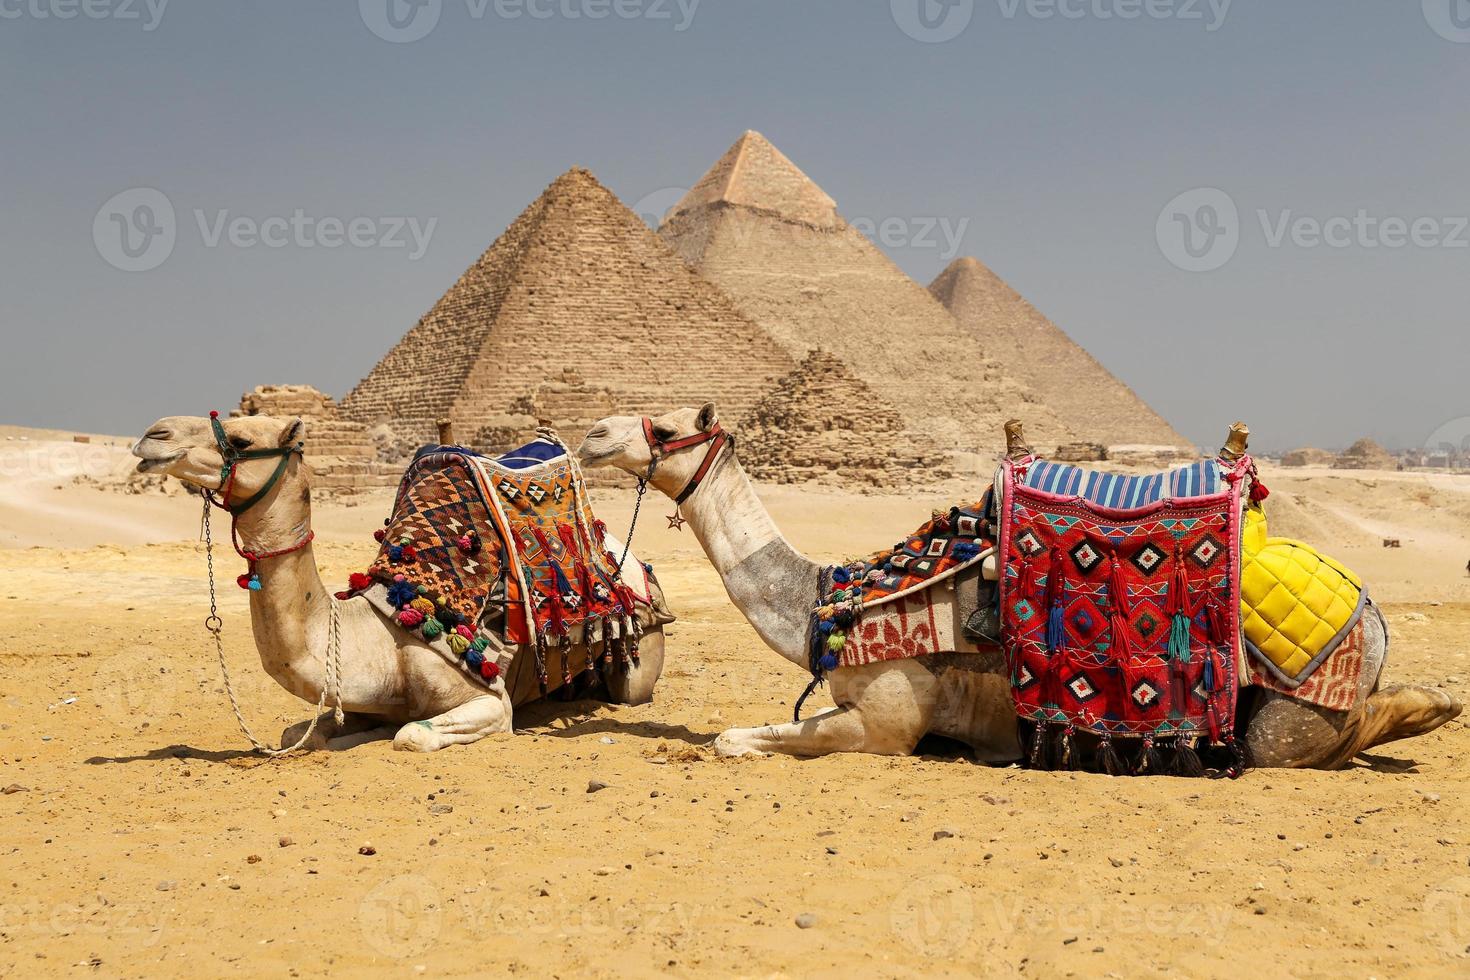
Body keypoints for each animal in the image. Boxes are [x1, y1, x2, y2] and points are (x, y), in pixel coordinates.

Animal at [132, 411, 673, 752]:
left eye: (242, 440)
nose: (153, 435)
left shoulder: (491, 704)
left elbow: (411, 734)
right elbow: (307, 734)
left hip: (641, 656)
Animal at [576, 405, 1458, 775]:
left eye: (665, 427)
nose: (592, 434)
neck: (832, 598)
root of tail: (1374, 617)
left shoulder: (889, 720)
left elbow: (734, 739)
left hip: (1288, 721)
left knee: (1342, 732)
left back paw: (1433, 706)